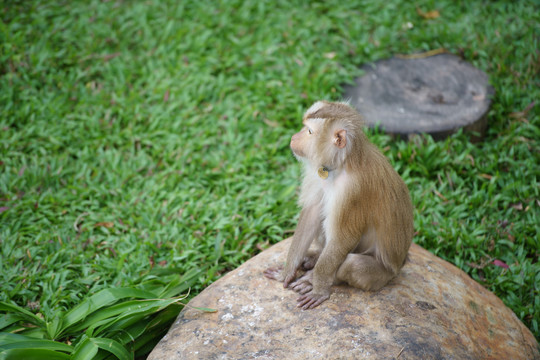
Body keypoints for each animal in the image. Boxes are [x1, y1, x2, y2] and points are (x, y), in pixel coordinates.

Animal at [264, 100, 414, 310]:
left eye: (309, 131)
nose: (294, 137)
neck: (342, 164)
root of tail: (400, 264)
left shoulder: (353, 190)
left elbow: (344, 237)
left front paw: (318, 289)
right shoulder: (319, 173)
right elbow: (311, 215)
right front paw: (286, 272)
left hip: (382, 276)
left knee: (352, 264)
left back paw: (315, 277)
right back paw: (315, 257)